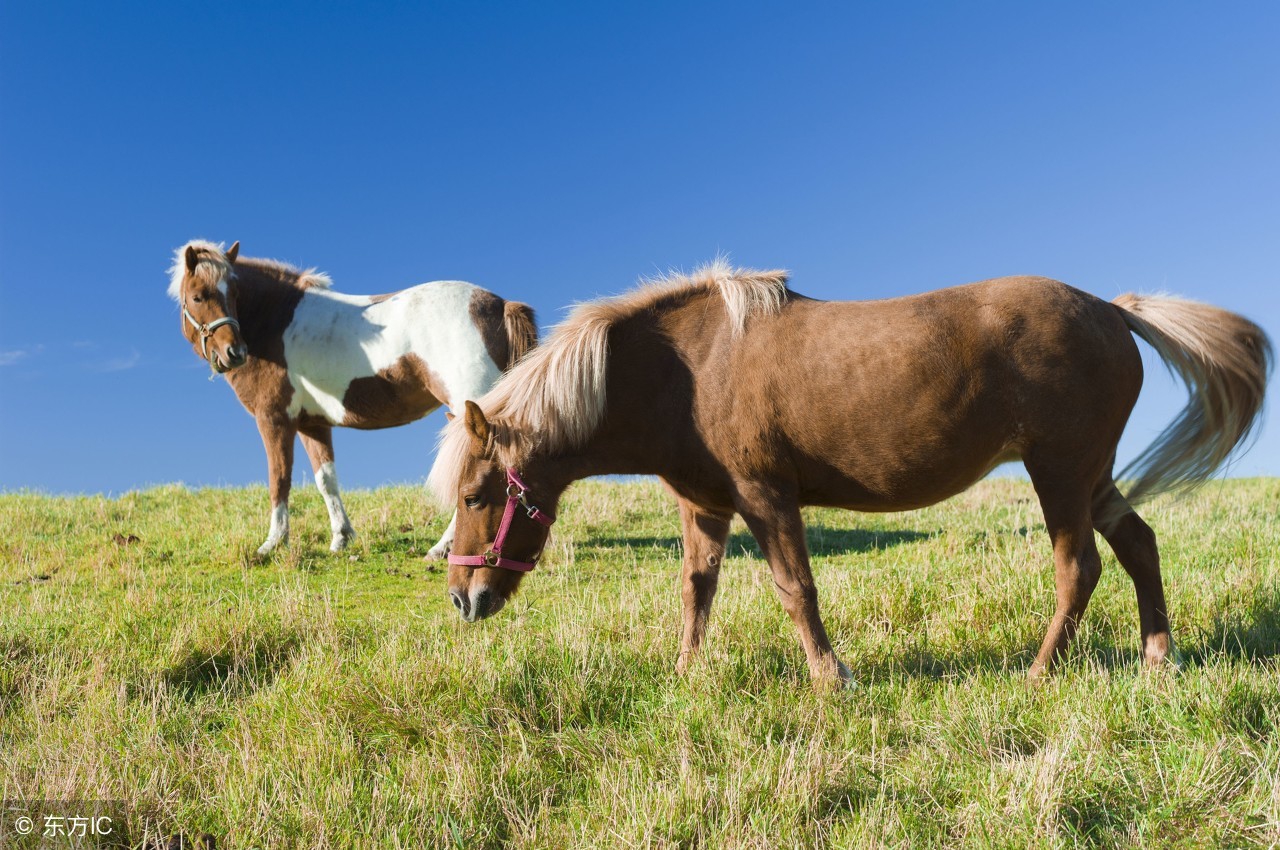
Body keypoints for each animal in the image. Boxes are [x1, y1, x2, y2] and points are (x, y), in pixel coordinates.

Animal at [167, 239, 537, 558]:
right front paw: (341, 538)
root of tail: (500, 305)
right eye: (198, 296)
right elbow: (326, 480)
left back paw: (442, 548)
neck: (276, 321)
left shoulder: (274, 419)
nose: (234, 353)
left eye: (232, 293)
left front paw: (273, 543)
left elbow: (279, 479)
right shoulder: (312, 425)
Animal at [430, 262, 1269, 686]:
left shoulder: (766, 497)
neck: (686, 370)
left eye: (476, 494)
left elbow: (795, 588)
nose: (464, 600)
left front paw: (831, 676)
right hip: (1089, 475)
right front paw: (687, 674)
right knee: (1139, 546)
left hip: (1059, 471)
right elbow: (697, 593)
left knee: (1080, 566)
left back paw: (1039, 670)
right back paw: (1157, 656)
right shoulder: (704, 508)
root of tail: (1112, 308)